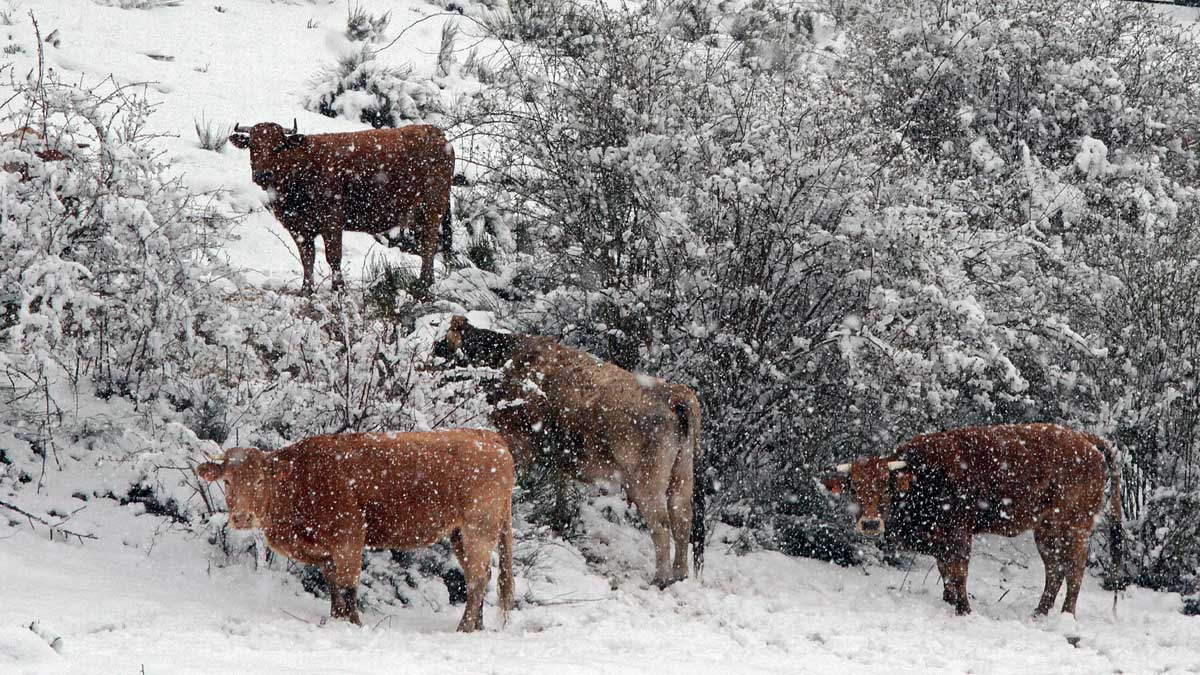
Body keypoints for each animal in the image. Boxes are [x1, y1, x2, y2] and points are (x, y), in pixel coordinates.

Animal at [196, 427, 516, 629]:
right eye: (227, 481)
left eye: (261, 480)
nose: (242, 517)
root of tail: (489, 436)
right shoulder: (325, 550)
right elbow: (333, 585)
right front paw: (337, 619)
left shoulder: (348, 536)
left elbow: (348, 586)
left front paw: (354, 624)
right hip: (460, 534)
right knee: (482, 576)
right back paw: (477, 627)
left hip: (479, 529)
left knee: (476, 580)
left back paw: (464, 628)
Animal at [432, 314, 700, 583]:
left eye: (440, 345)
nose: (429, 363)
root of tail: (674, 394)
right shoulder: (559, 455)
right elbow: (560, 486)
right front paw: (559, 521)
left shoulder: (518, 439)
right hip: (682, 472)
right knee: (682, 517)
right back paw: (681, 573)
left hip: (646, 480)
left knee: (661, 524)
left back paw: (662, 578)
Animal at [825, 422, 1123, 619]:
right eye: (854, 488)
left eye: (885, 486)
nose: (871, 523)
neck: (923, 476)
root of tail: (1083, 439)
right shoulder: (940, 540)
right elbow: (945, 572)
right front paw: (948, 602)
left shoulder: (959, 533)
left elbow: (958, 572)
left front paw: (964, 610)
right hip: (1046, 530)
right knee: (1055, 569)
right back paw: (1039, 613)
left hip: (1074, 527)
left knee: (1074, 569)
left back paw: (1066, 615)